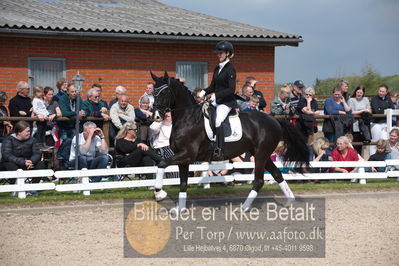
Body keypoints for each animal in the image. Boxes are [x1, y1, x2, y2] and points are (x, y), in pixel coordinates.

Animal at [152, 72, 310, 212]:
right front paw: (180, 209)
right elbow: (183, 183)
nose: (156, 117)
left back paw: (244, 208)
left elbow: (162, 164)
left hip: (261, 154)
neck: (188, 119)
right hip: (261, 154)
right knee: (277, 174)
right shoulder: (183, 158)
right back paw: (289, 201)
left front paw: (159, 192)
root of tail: (275, 120)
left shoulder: (187, 155)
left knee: (259, 180)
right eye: (153, 92)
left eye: (164, 93)